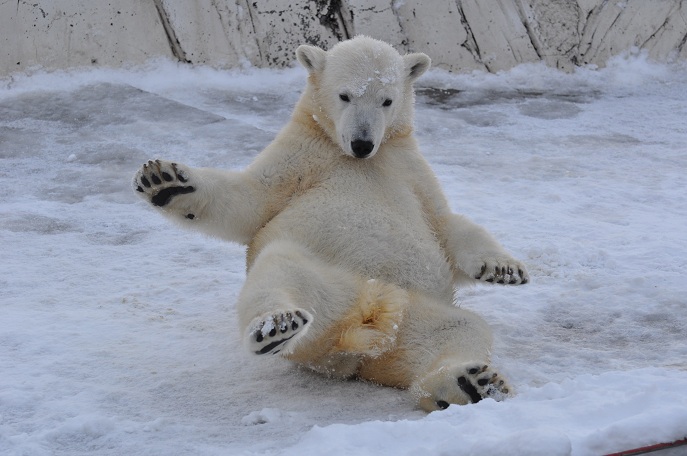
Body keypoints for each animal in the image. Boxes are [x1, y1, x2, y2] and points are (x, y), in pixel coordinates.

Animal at [136, 36, 532, 414]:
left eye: (387, 100)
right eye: (345, 95)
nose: (362, 143)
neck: (352, 157)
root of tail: (361, 332)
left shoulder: (409, 168)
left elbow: (446, 226)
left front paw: (505, 269)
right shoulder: (302, 155)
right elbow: (248, 199)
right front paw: (164, 179)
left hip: (415, 314)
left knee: (460, 330)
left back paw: (471, 382)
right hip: (327, 290)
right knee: (280, 268)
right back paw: (277, 326)